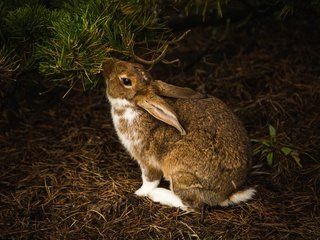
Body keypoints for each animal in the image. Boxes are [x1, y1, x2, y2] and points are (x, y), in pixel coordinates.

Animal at [102, 59, 255, 211]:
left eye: (126, 81)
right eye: (137, 65)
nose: (107, 63)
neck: (134, 108)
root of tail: (227, 194)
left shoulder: (147, 159)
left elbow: (150, 180)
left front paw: (139, 193)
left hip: (180, 174)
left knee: (193, 204)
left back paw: (158, 195)